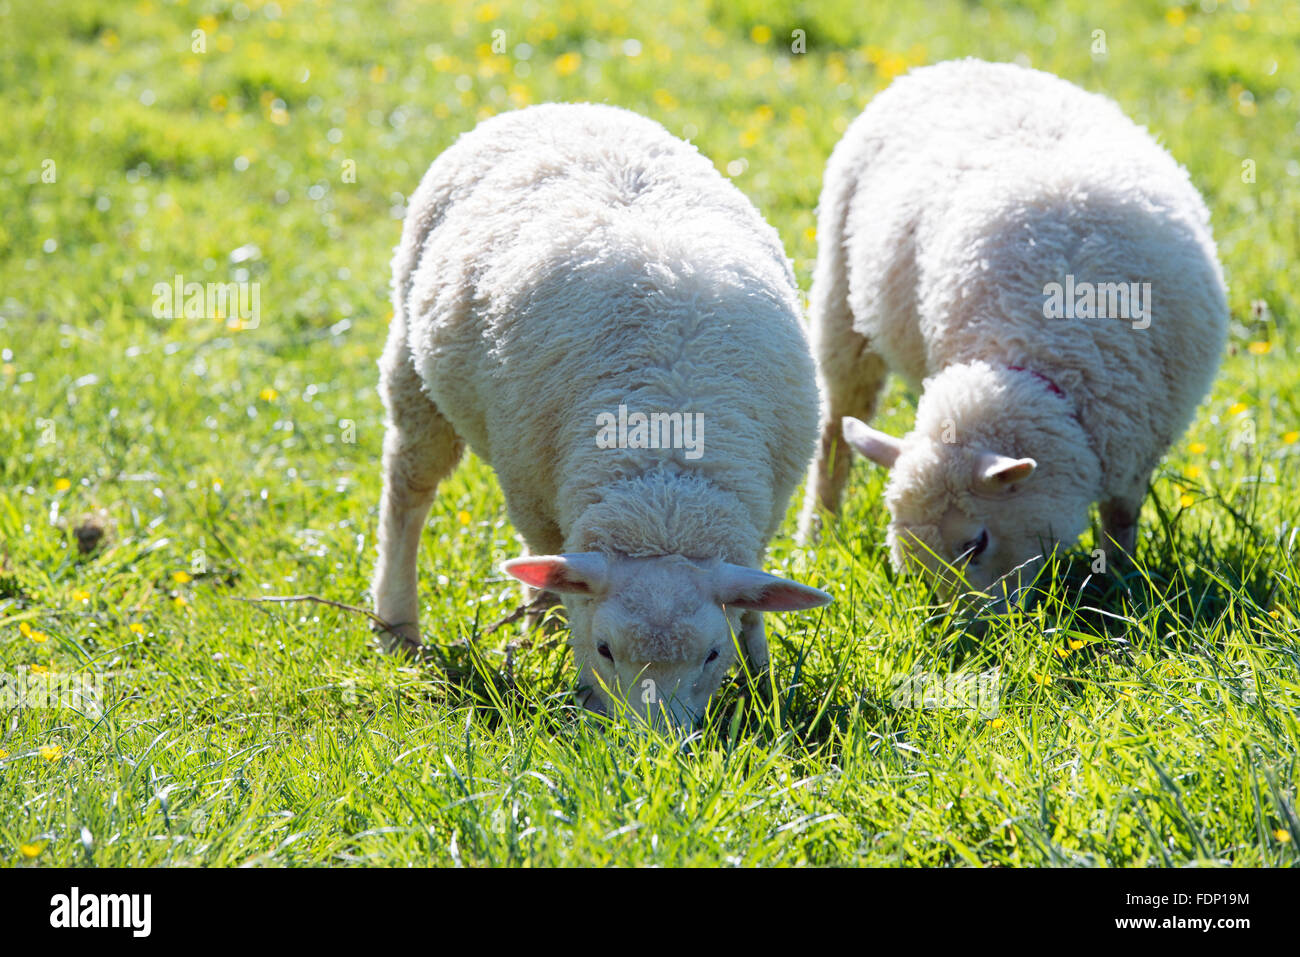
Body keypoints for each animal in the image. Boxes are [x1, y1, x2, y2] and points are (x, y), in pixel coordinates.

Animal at [373, 102, 832, 726]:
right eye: (606, 649)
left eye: (713, 655)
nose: (655, 745)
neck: (663, 490)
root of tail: (556, 106)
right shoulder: (538, 499)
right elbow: (564, 588)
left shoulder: (761, 515)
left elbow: (753, 605)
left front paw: (762, 681)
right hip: (415, 376)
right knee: (408, 493)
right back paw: (400, 624)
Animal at [799, 59, 1228, 596]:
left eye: (976, 542)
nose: (956, 624)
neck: (1048, 357)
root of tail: (957, 65)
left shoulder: (1137, 440)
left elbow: (1122, 517)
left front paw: (1120, 580)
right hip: (841, 303)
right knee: (834, 434)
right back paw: (817, 534)